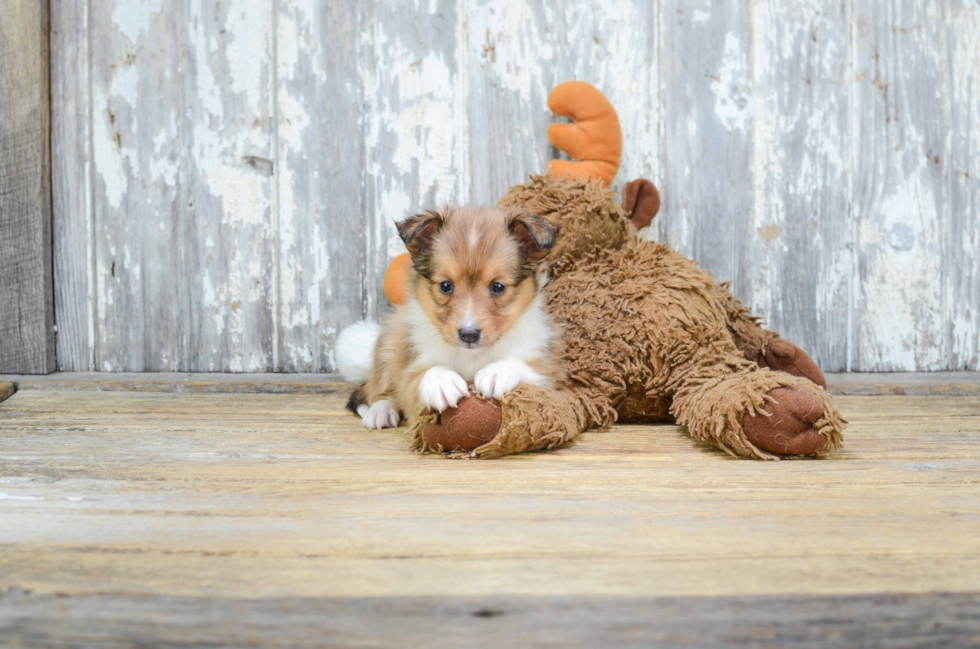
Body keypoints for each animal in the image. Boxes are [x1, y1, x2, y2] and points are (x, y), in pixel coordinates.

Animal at [340, 208, 564, 428]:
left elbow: (519, 362)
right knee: (375, 389)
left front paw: (496, 373)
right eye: (446, 285)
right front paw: (442, 381)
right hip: (389, 344)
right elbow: (424, 373)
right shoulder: (411, 371)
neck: (471, 355)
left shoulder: (547, 371)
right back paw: (380, 412)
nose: (469, 335)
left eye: (498, 286)